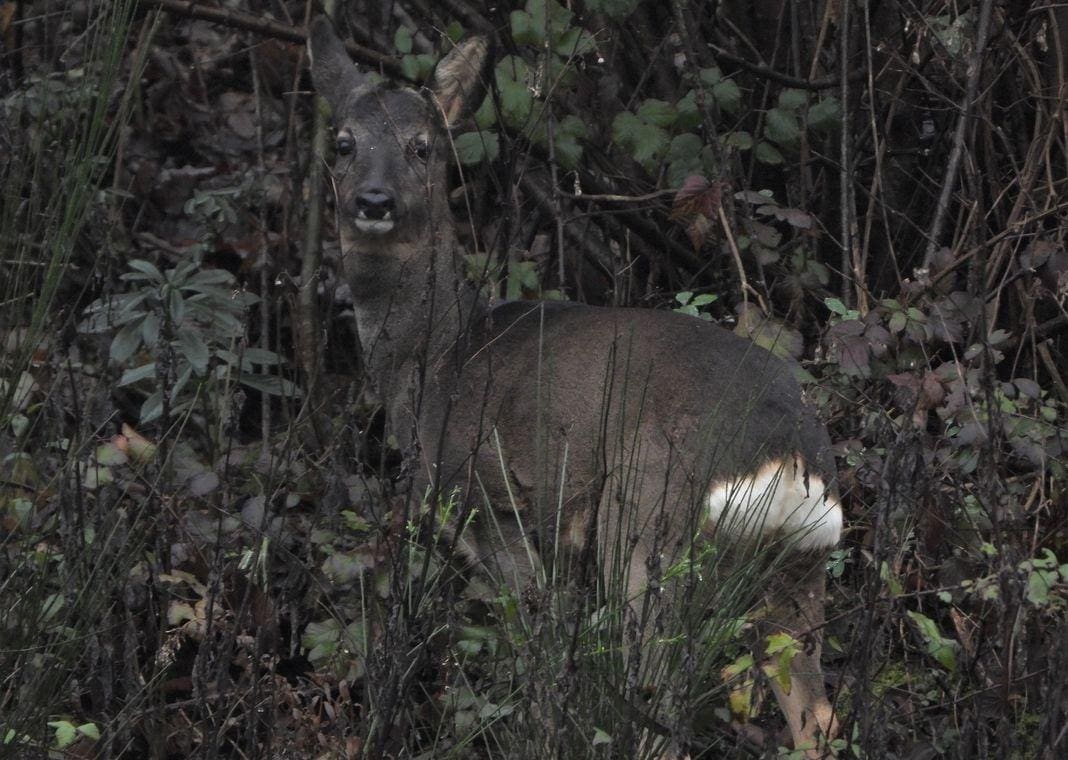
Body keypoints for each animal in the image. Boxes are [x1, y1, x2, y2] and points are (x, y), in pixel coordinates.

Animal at [307, 16, 841, 755]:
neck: (437, 360)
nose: (374, 201)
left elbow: (531, 657)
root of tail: (790, 454)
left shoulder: (493, 508)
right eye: (343, 142)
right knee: (816, 715)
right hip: (796, 569)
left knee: (659, 695)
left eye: (423, 146)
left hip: (648, 527)